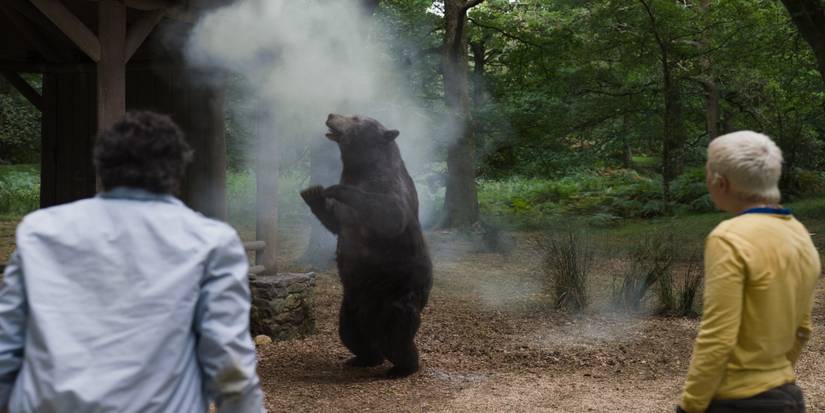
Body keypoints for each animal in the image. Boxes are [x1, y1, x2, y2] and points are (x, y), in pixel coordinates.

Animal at [300, 114, 433, 378]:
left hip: (396, 295)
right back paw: (363, 358)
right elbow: (335, 221)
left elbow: (388, 214)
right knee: (350, 333)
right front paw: (314, 192)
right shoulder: (346, 217)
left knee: (397, 335)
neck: (361, 169)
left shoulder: (389, 190)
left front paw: (333, 188)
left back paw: (403, 367)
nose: (330, 115)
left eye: (355, 118)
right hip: (351, 302)